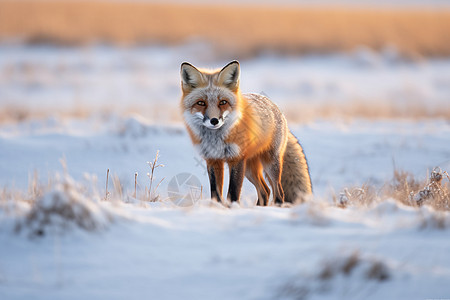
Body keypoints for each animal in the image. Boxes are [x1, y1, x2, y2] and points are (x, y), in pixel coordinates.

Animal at [181, 61, 312, 206]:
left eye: (223, 102)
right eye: (201, 103)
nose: (214, 121)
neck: (216, 140)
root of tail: (274, 105)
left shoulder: (236, 159)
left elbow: (233, 192)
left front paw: (233, 208)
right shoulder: (213, 160)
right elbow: (216, 193)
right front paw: (218, 207)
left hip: (270, 164)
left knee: (279, 192)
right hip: (249, 169)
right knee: (265, 191)